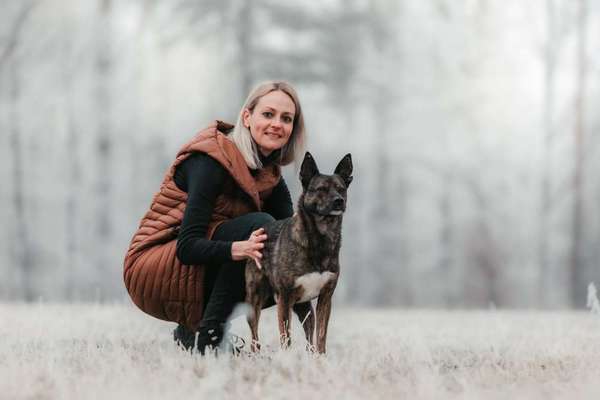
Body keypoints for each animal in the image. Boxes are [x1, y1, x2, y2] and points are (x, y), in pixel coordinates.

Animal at [246, 151, 354, 354]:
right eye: (321, 189)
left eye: (341, 188)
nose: (339, 201)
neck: (321, 237)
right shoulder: (284, 298)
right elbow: (286, 338)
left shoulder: (325, 298)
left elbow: (321, 336)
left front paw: (321, 359)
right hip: (255, 300)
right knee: (254, 335)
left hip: (305, 309)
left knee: (309, 336)